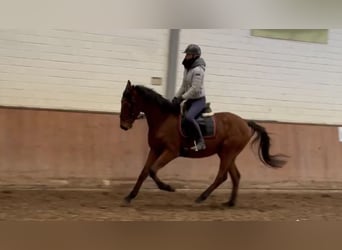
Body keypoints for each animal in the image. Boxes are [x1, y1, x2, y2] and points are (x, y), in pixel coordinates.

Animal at [120, 80, 286, 207]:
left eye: (128, 103)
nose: (123, 126)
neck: (164, 119)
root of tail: (245, 122)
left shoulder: (171, 151)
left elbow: (153, 170)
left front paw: (168, 187)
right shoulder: (155, 149)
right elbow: (144, 172)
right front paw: (129, 196)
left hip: (228, 152)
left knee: (222, 176)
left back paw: (201, 197)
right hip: (227, 154)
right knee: (235, 176)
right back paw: (230, 203)